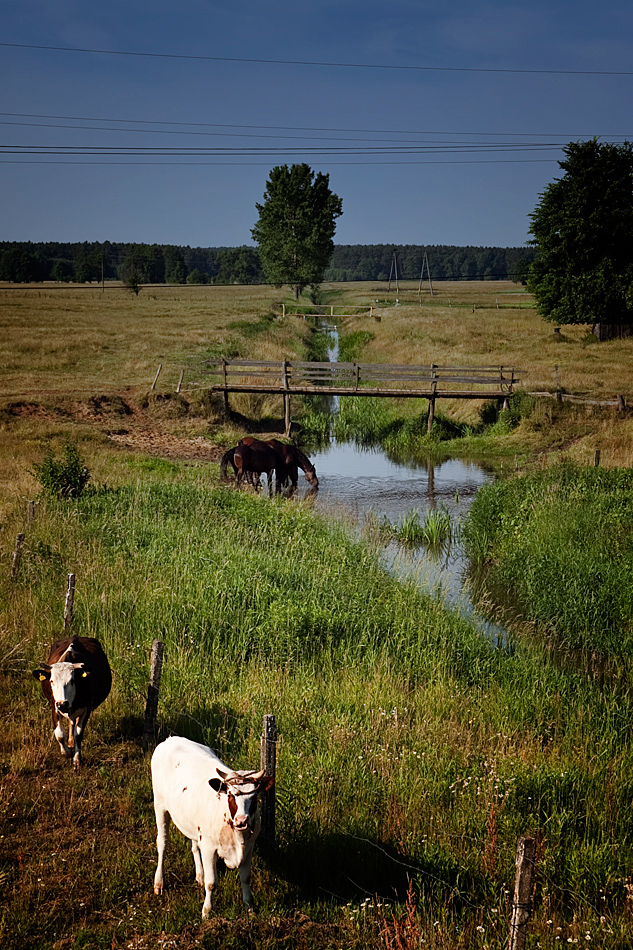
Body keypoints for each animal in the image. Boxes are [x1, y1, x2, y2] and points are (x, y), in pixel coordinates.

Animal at [32, 636, 112, 768]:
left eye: (72, 680)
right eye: (52, 681)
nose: (62, 703)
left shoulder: (86, 708)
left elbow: (78, 734)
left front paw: (76, 759)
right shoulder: (54, 707)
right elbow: (59, 734)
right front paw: (66, 753)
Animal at [152, 740, 274, 920]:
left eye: (253, 797)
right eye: (230, 795)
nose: (241, 820)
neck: (237, 836)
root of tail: (171, 740)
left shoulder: (249, 847)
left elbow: (246, 878)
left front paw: (250, 907)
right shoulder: (210, 848)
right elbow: (212, 883)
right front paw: (207, 911)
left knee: (194, 845)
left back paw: (199, 875)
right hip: (160, 805)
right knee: (162, 843)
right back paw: (159, 882)